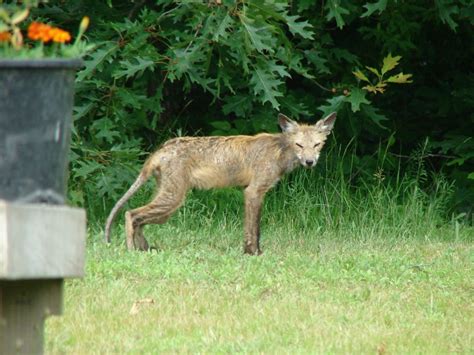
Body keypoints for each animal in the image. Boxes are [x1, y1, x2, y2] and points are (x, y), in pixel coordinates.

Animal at [104, 112, 334, 254]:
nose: (310, 162)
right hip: (172, 200)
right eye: (299, 145)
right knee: (130, 214)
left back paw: (144, 250)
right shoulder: (253, 191)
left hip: (167, 207)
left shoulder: (255, 193)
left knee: (138, 219)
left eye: (317, 145)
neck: (279, 152)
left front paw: (251, 252)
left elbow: (254, 228)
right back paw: (131, 251)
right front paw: (253, 253)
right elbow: (254, 230)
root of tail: (162, 149)